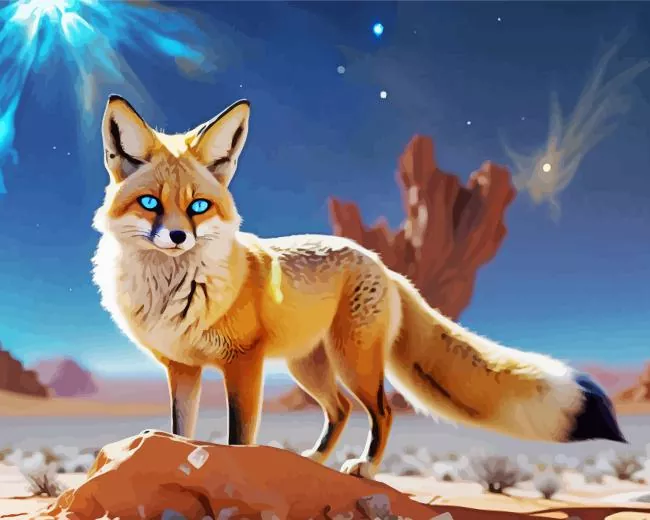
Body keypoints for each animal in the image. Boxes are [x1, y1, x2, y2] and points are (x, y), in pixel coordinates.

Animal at [92, 94, 626, 479]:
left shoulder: (242, 362)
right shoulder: (183, 367)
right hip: (308, 366)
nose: (178, 238)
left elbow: (239, 437)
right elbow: (181, 430)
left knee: (382, 411)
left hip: (352, 361)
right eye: (149, 203)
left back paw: (364, 467)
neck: (171, 292)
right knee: (342, 409)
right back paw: (313, 461)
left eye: (198, 207)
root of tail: (383, 265)